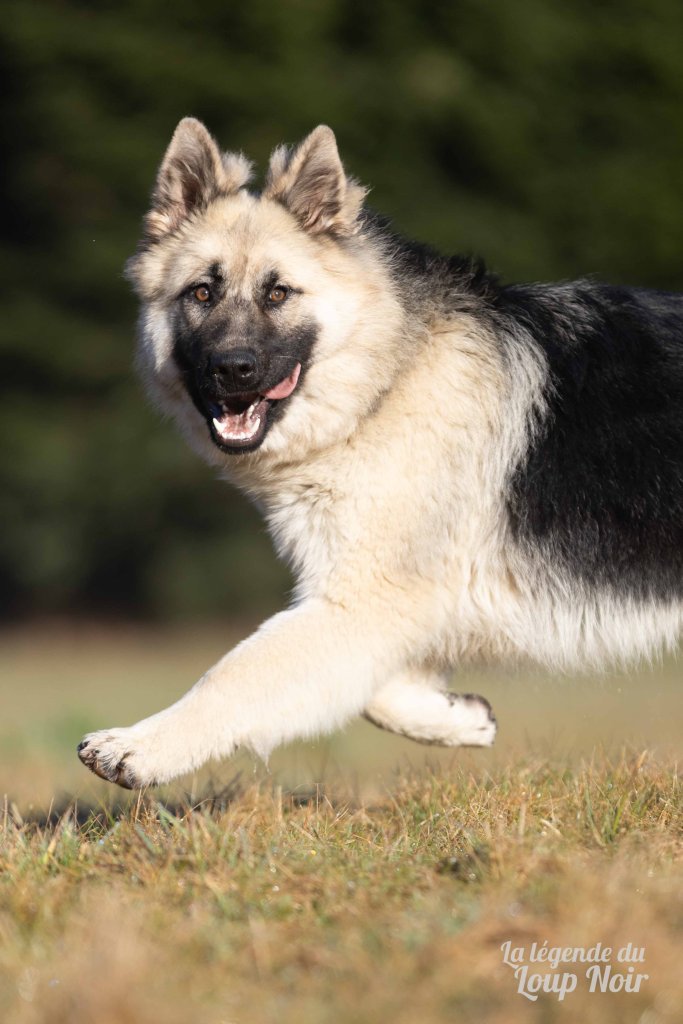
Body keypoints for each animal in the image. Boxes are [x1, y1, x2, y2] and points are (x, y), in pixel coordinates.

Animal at [78, 119, 683, 789]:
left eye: (278, 293)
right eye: (202, 293)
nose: (231, 371)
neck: (386, 378)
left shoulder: (366, 600)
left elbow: (237, 672)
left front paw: (142, 746)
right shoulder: (380, 608)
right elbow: (373, 691)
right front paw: (455, 719)